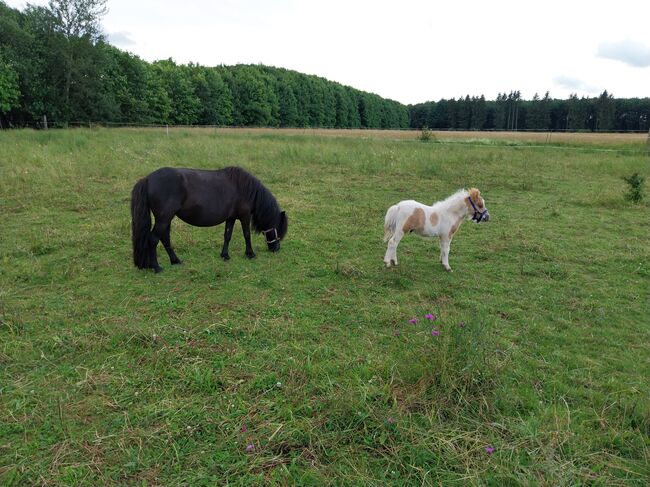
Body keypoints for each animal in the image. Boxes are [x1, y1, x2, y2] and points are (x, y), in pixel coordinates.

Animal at [129, 167, 286, 274]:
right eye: (278, 230)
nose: (276, 249)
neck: (245, 188)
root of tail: (147, 179)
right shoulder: (244, 216)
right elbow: (246, 235)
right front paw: (250, 254)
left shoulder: (231, 218)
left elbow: (227, 236)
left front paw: (225, 255)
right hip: (164, 218)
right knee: (153, 239)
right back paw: (156, 267)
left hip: (166, 219)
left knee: (165, 238)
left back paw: (175, 261)